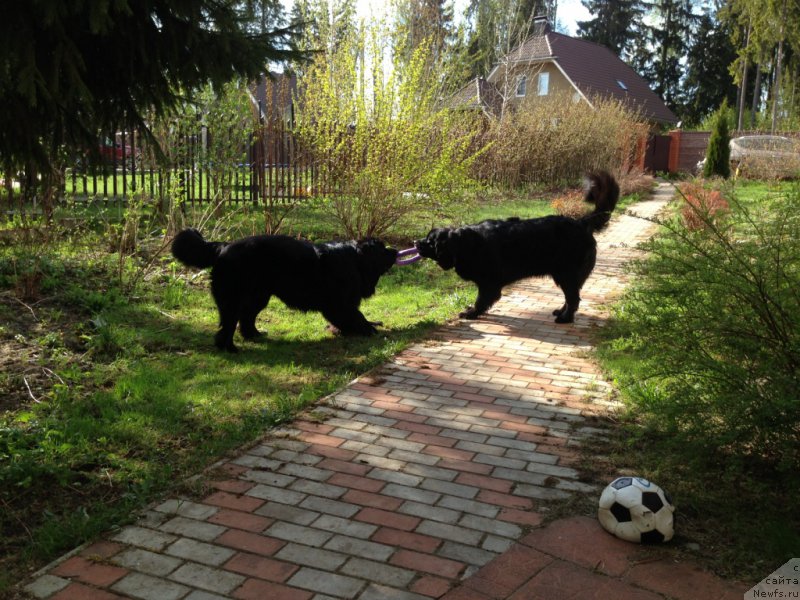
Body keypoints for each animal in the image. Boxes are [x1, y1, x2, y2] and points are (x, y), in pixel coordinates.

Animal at [175, 229, 400, 352]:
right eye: (382, 249)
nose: (396, 250)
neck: (356, 260)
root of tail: (223, 247)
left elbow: (350, 317)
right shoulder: (340, 303)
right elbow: (356, 315)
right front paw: (368, 329)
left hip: (258, 295)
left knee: (246, 317)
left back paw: (254, 335)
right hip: (234, 297)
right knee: (229, 323)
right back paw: (229, 348)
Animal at [416, 172, 620, 324]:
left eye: (430, 241)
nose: (416, 243)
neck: (463, 244)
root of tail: (581, 222)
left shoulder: (488, 282)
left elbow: (481, 300)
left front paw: (471, 313)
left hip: (566, 272)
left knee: (573, 298)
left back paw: (565, 318)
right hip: (567, 275)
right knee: (572, 296)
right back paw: (561, 312)